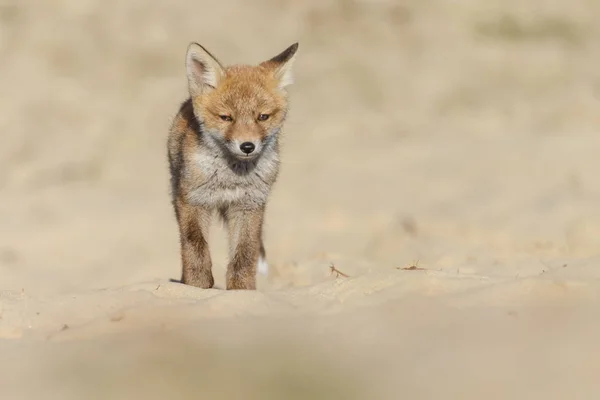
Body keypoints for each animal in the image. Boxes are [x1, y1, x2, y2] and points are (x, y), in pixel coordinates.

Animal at [166, 41, 298, 290]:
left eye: (262, 117)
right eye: (226, 117)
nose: (247, 146)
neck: (229, 179)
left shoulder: (249, 206)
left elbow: (244, 255)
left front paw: (242, 291)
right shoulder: (192, 200)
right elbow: (195, 247)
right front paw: (197, 286)